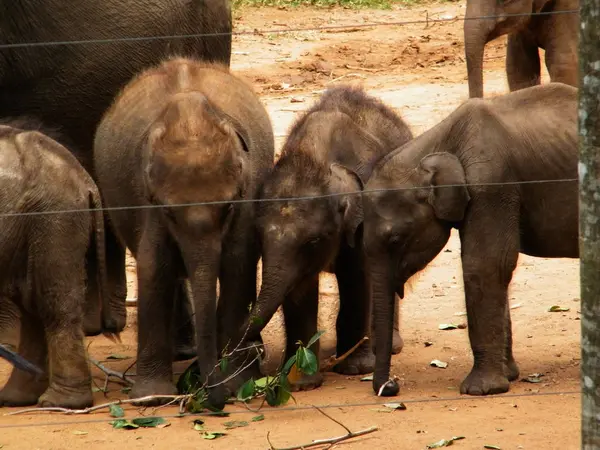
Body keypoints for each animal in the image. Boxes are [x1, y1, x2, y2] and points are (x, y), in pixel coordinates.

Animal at [0, 121, 118, 410]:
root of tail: (85, 179)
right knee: (31, 306)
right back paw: (16, 399)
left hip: (55, 219)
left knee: (54, 305)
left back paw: (62, 403)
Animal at [94, 56, 274, 408]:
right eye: (168, 212)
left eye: (228, 207)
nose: (214, 398)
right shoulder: (147, 202)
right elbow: (154, 266)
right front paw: (150, 398)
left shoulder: (246, 198)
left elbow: (239, 263)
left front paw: (237, 384)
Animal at [238, 85, 412, 390]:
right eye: (259, 239)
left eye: (314, 241)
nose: (254, 351)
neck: (316, 158)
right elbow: (299, 289)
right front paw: (301, 382)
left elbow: (357, 277)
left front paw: (355, 369)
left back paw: (388, 347)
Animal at [364, 81, 580, 398]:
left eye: (395, 239)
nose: (391, 386)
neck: (438, 140)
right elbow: (498, 268)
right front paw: (509, 375)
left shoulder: (491, 185)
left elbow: (487, 264)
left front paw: (482, 390)